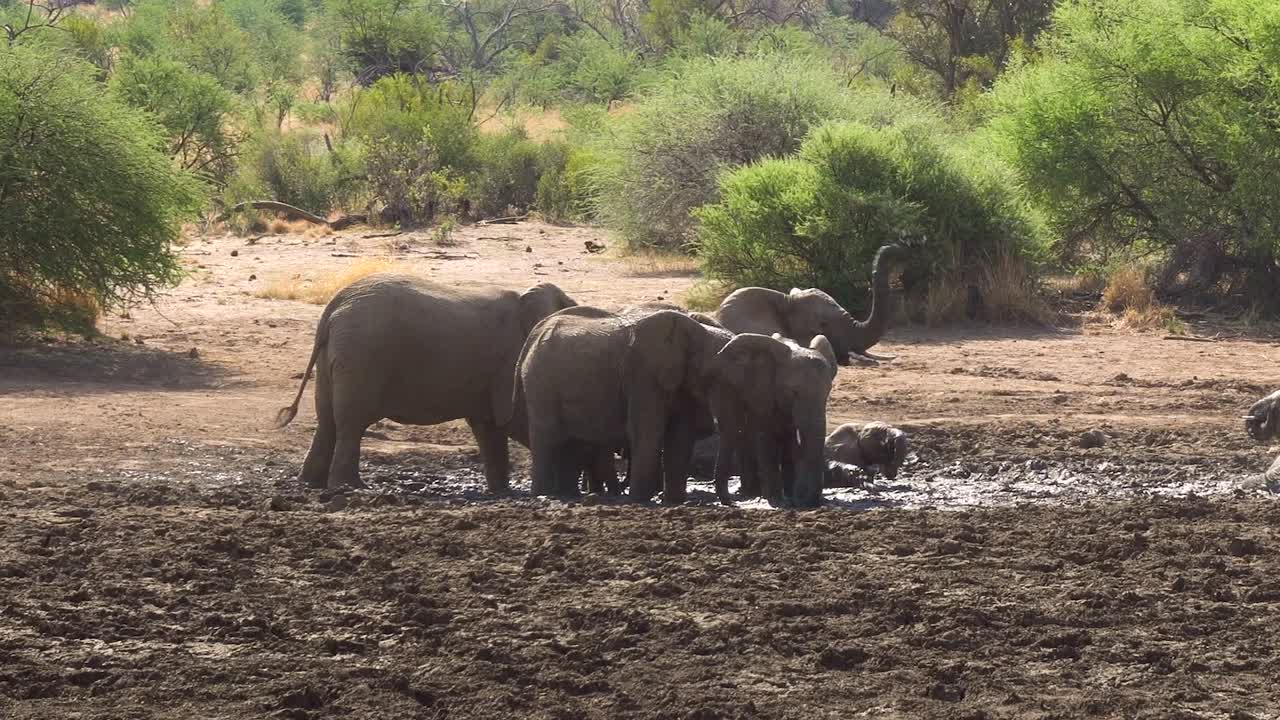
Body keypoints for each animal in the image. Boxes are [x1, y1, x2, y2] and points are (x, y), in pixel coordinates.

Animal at [275, 274, 576, 492]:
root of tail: (334, 305)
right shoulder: (509, 359)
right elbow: (512, 418)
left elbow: (489, 427)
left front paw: (501, 493)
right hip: (362, 354)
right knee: (351, 422)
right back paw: (351, 487)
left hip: (337, 355)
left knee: (327, 420)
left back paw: (311, 484)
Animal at [507, 308, 732, 502]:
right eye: (711, 378)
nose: (728, 503)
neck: (699, 331)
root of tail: (531, 340)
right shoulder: (643, 374)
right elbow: (647, 432)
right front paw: (639, 501)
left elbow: (679, 437)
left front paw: (672, 502)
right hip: (540, 382)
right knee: (548, 438)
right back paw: (543, 495)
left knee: (570, 443)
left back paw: (568, 495)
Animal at [710, 332, 838, 507]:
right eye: (793, 392)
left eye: (828, 392)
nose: (803, 501)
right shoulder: (762, 390)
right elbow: (765, 436)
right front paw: (778, 502)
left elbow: (789, 440)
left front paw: (790, 497)